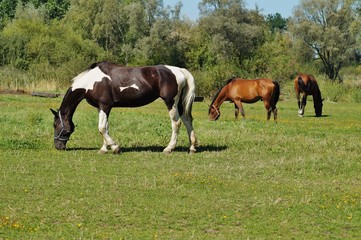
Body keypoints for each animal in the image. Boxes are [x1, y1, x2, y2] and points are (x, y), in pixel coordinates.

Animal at [50, 61, 197, 154]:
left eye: (55, 125)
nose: (58, 146)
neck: (91, 81)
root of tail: (179, 70)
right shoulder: (101, 108)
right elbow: (105, 127)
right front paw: (104, 148)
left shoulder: (105, 106)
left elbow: (101, 128)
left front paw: (115, 148)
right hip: (180, 104)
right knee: (187, 121)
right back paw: (192, 148)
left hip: (170, 102)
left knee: (176, 123)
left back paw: (169, 148)